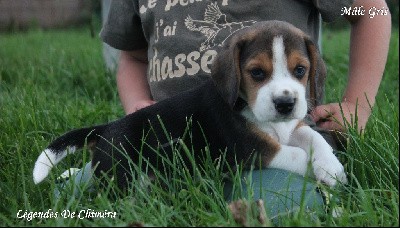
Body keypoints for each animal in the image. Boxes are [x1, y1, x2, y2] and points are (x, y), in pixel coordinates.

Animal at [32, 20, 346, 189]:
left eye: (300, 70)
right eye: (257, 73)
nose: (285, 103)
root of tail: (106, 129)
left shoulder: (291, 127)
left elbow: (313, 137)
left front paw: (331, 166)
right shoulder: (254, 150)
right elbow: (297, 155)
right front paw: (325, 170)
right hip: (125, 170)